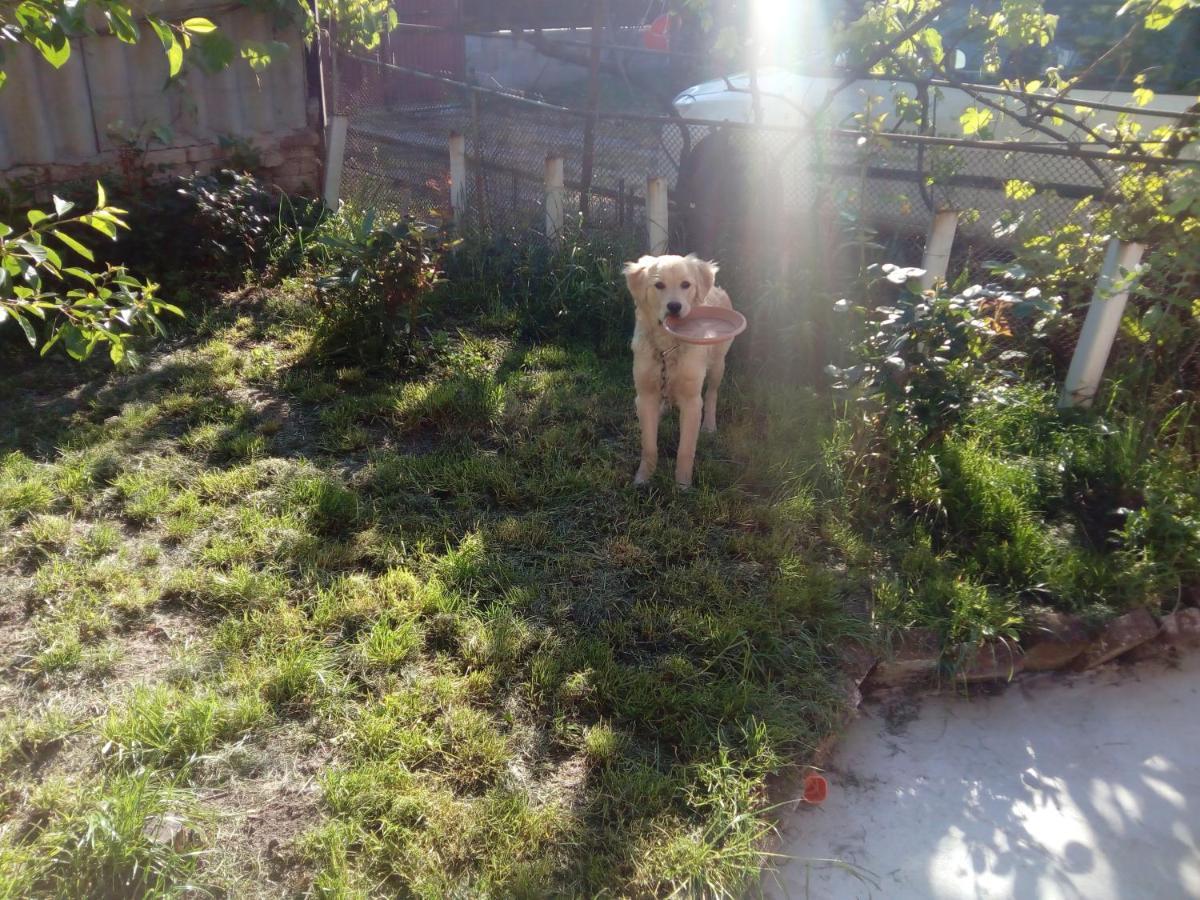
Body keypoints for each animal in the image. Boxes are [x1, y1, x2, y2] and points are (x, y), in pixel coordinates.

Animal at [628, 254, 729, 489]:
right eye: (659, 285)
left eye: (685, 285)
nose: (674, 306)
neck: (668, 345)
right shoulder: (645, 395)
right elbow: (649, 445)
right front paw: (643, 478)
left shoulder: (692, 401)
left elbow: (685, 449)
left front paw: (682, 485)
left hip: (718, 365)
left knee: (712, 394)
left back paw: (709, 425)